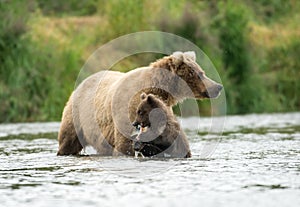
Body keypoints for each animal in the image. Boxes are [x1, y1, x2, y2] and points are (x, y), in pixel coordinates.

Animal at [57, 51, 223, 156]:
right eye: (199, 73)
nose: (218, 87)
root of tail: (80, 83)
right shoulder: (127, 110)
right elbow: (125, 145)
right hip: (77, 117)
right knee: (68, 140)